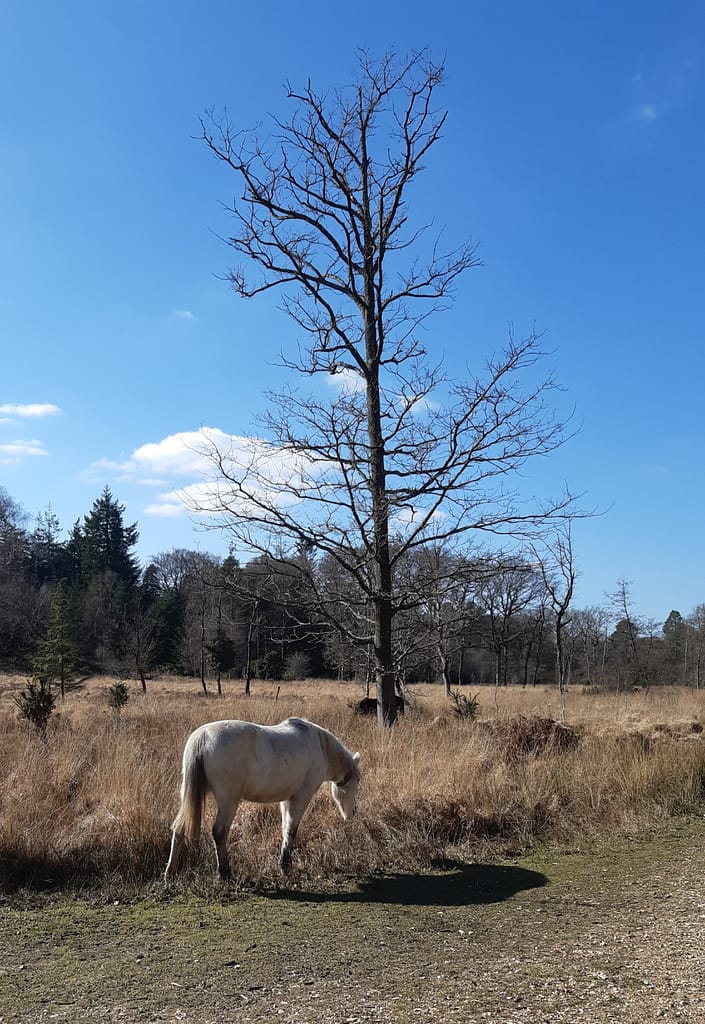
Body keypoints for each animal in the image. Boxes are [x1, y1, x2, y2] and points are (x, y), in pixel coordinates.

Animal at [164, 717, 360, 882]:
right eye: (357, 781)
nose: (353, 811)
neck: (320, 746)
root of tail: (202, 737)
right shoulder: (300, 797)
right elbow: (291, 830)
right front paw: (285, 866)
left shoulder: (286, 800)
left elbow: (285, 829)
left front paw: (284, 863)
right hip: (228, 801)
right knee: (219, 832)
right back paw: (224, 872)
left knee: (179, 829)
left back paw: (170, 872)